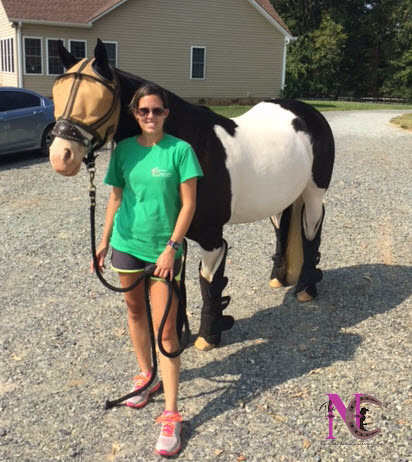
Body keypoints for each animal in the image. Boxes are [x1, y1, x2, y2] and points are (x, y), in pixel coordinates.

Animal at [50, 39, 336, 350]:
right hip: (281, 198)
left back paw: (306, 288)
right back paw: (278, 278)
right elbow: (176, 284)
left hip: (313, 194)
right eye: (56, 94)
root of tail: (308, 113)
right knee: (282, 230)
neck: (191, 143)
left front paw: (208, 336)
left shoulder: (211, 238)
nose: (60, 156)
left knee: (311, 229)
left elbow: (208, 283)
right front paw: (175, 335)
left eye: (99, 98)